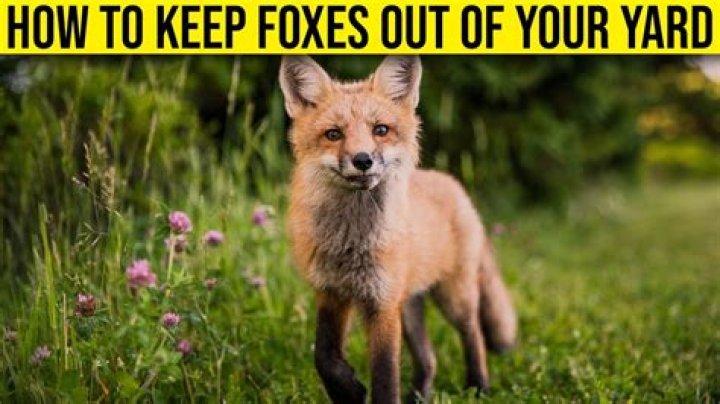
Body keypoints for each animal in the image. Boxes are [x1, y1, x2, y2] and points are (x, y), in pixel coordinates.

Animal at [280, 55, 517, 404]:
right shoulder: (331, 292)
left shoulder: (383, 303)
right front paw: (348, 391)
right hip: (409, 306)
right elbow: (324, 356)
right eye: (333, 134)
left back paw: (479, 386)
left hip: (453, 296)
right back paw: (420, 395)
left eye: (381, 130)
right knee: (430, 358)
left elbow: (385, 374)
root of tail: (453, 184)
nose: (362, 160)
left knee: (473, 333)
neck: (351, 243)